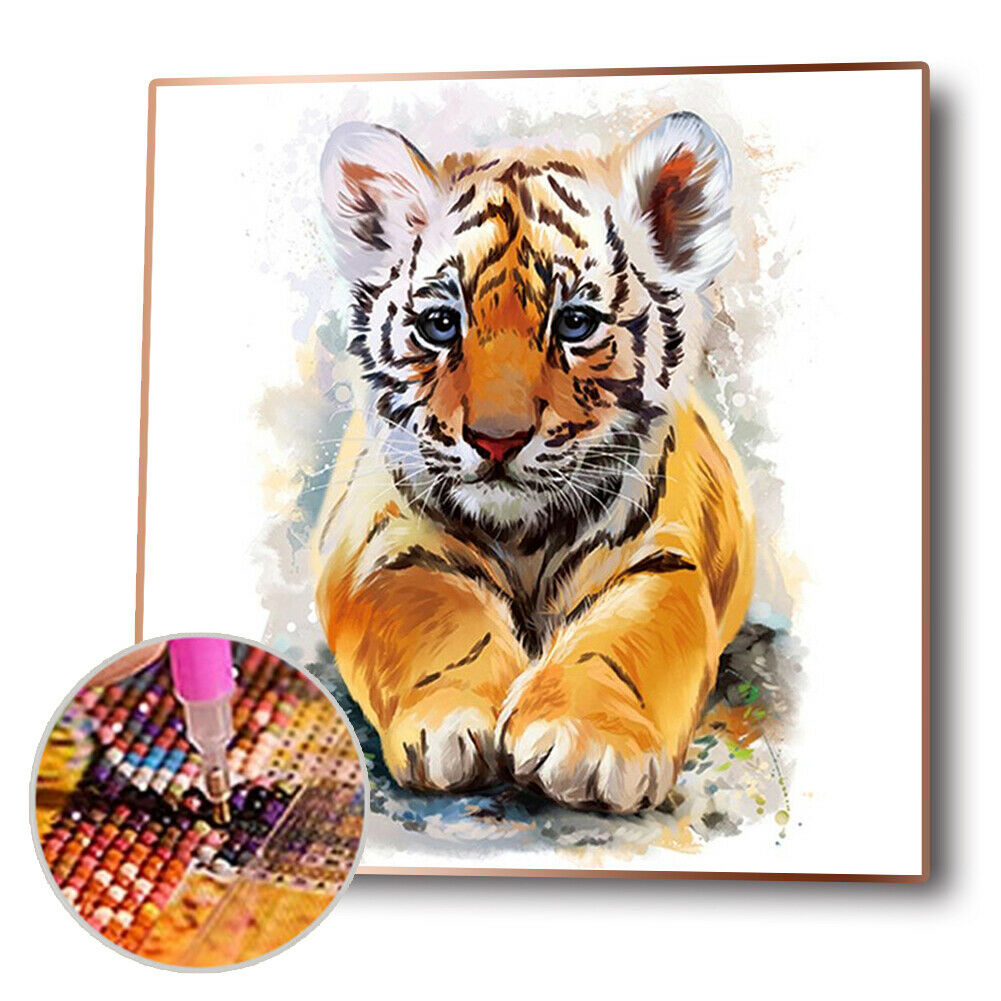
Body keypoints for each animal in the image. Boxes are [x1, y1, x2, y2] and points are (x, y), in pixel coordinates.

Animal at [312, 111, 755, 813]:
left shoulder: (661, 556)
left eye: (574, 323)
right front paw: (454, 719)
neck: (523, 535)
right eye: (441, 324)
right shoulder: (384, 545)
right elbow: (440, 621)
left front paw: (587, 741)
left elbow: (622, 644)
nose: (497, 439)